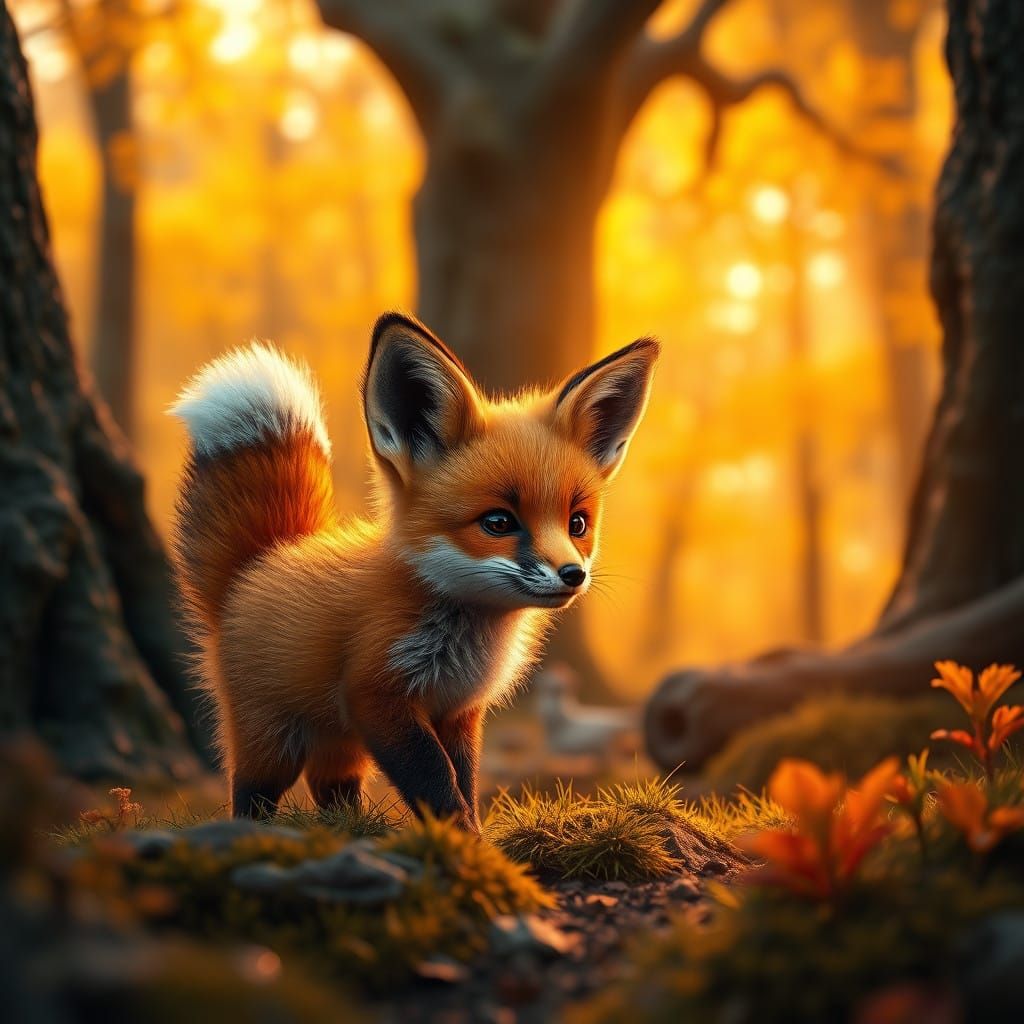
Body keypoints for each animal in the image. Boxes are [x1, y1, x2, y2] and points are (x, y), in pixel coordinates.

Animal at [169, 313, 658, 829]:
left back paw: (351, 827)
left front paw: (472, 833)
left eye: (577, 523)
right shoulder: (376, 693)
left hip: (337, 740)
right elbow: (435, 780)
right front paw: (465, 839)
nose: (572, 574)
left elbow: (464, 779)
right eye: (498, 522)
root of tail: (263, 558)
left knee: (332, 786)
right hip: (271, 738)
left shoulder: (460, 710)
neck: (465, 641)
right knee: (251, 791)